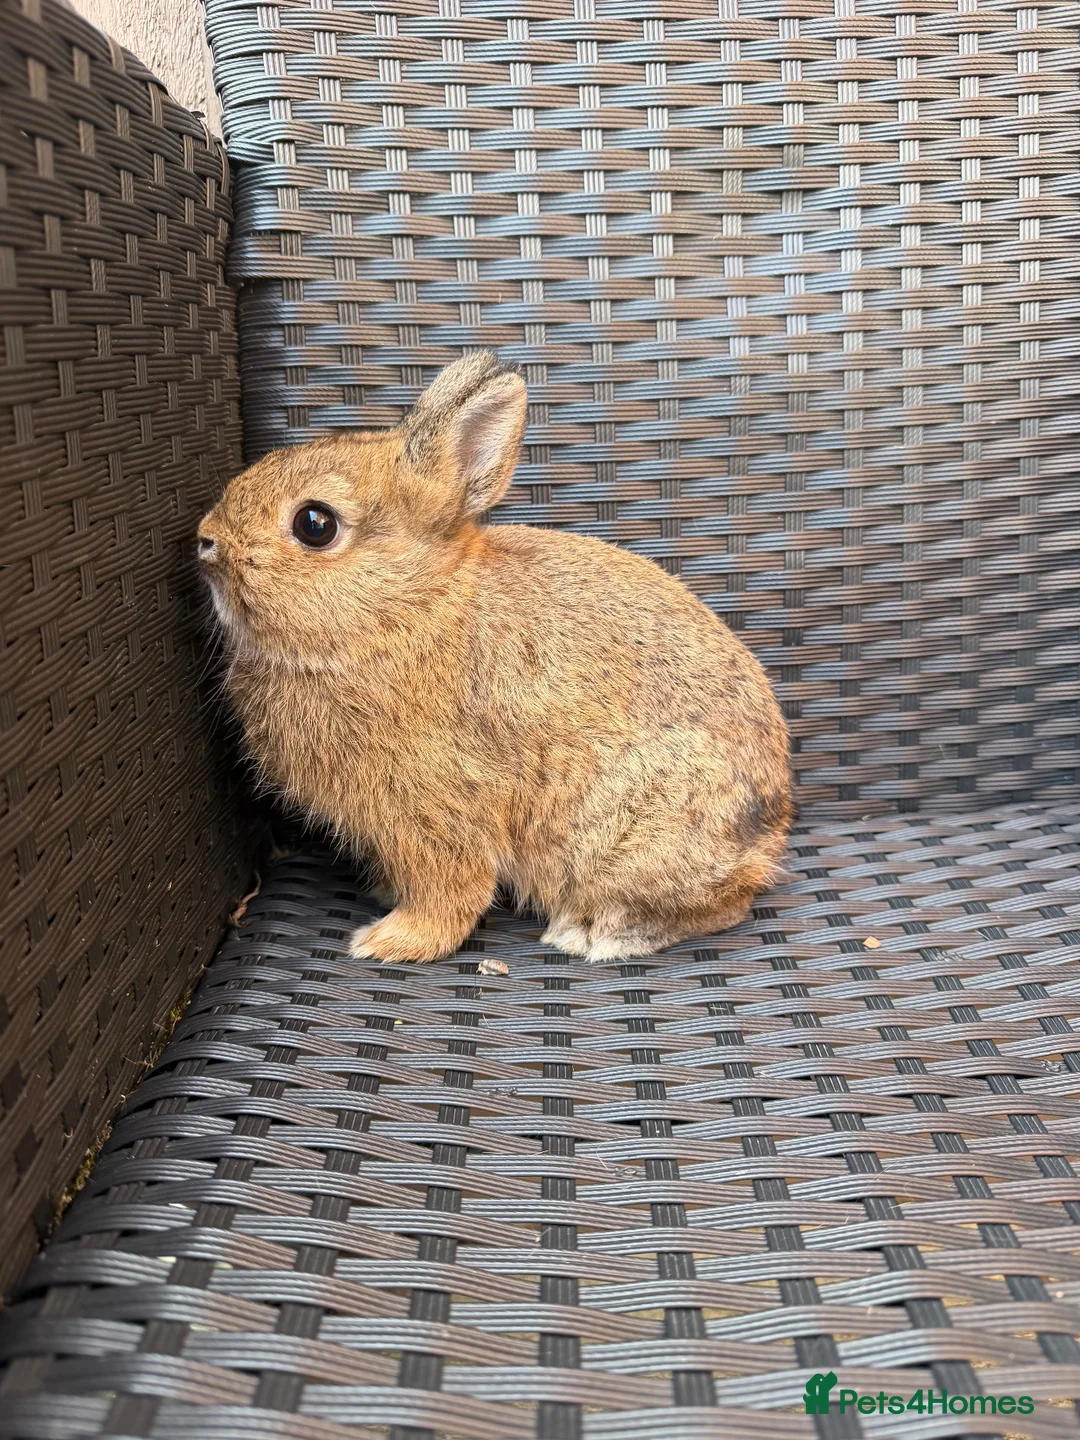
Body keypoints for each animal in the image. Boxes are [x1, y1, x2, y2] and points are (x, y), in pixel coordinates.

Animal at [197, 353, 793, 964]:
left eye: (314, 524)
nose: (206, 540)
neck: (411, 607)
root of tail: (766, 838)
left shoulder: (435, 811)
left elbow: (452, 893)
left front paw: (389, 941)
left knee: (719, 904)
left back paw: (596, 933)